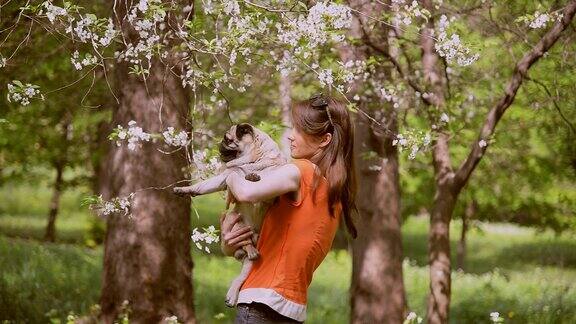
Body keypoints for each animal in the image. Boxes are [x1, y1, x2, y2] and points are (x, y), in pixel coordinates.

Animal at [172, 123, 286, 306]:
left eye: (228, 139)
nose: (220, 143)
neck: (253, 160)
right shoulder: (225, 177)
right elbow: (204, 186)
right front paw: (185, 190)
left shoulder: (272, 191)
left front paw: (252, 177)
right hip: (235, 220)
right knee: (245, 248)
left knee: (242, 271)